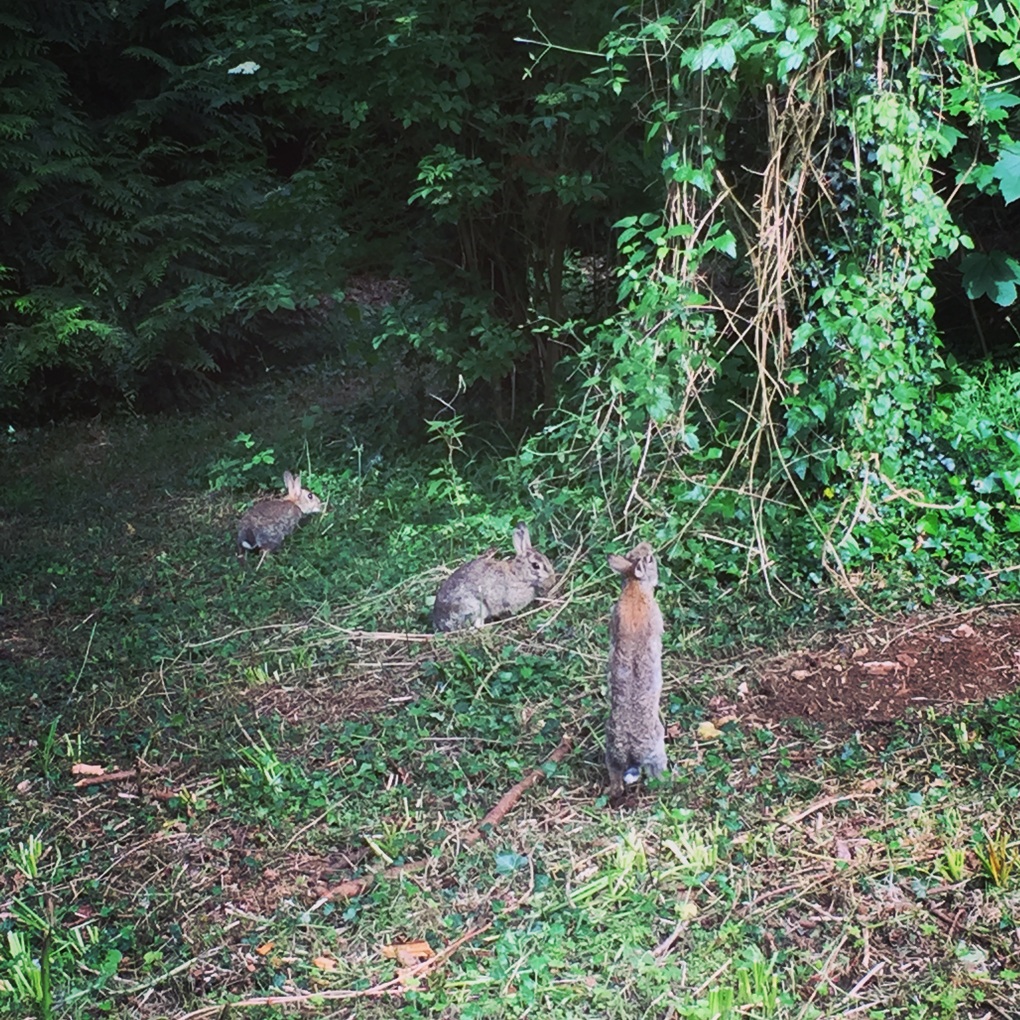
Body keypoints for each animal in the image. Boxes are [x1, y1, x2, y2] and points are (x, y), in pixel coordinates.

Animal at [603, 542, 669, 803]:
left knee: (615, 779)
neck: (634, 585)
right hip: (657, 749)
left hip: (611, 753)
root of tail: (630, 748)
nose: (647, 544)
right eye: (649, 559)